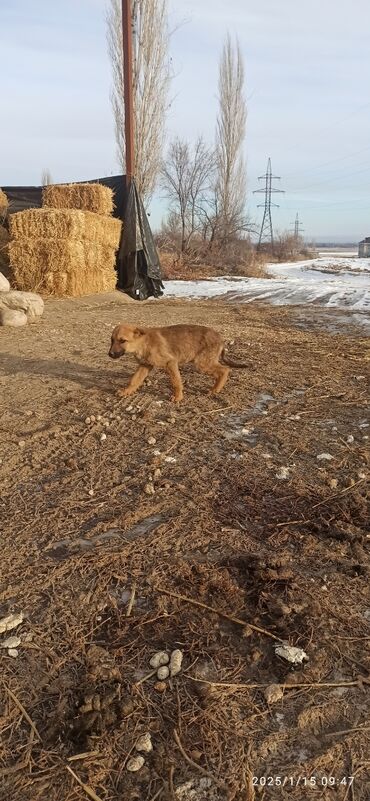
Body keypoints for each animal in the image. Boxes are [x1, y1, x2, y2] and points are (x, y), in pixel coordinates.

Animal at [108, 322, 250, 404]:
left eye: (122, 341)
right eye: (112, 340)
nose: (110, 354)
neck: (143, 343)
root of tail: (220, 338)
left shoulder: (170, 362)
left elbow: (176, 382)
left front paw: (178, 397)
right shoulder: (145, 365)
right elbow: (134, 380)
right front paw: (126, 391)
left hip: (202, 363)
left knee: (225, 370)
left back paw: (215, 390)